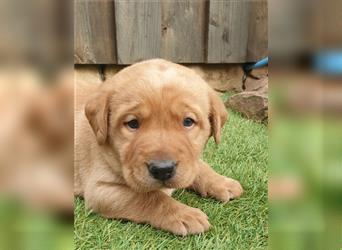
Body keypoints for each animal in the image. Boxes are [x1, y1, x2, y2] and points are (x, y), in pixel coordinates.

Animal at [74, 59, 242, 235]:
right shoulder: (100, 190)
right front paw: (184, 214)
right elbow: (149, 197)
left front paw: (221, 182)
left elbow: (199, 167)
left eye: (188, 122)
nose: (162, 170)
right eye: (132, 123)